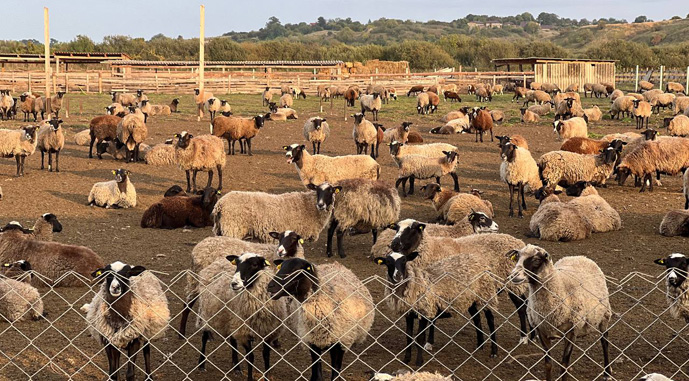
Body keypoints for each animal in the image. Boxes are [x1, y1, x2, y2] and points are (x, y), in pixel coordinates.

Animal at [508, 243, 612, 380]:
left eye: (536, 260)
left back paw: (607, 373)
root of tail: (579, 256)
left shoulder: (571, 331)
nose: (513, 276)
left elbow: (564, 366)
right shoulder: (541, 330)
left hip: (604, 315)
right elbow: (548, 364)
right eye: (517, 257)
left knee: (604, 341)